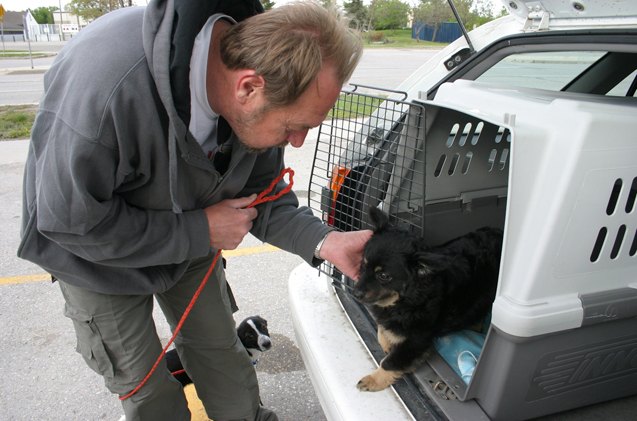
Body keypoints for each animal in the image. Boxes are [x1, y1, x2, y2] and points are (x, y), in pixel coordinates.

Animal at [352, 207, 502, 390]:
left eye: (384, 276)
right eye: (363, 264)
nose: (355, 293)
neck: (407, 299)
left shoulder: (417, 340)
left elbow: (391, 362)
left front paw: (374, 380)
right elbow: (382, 329)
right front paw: (388, 342)